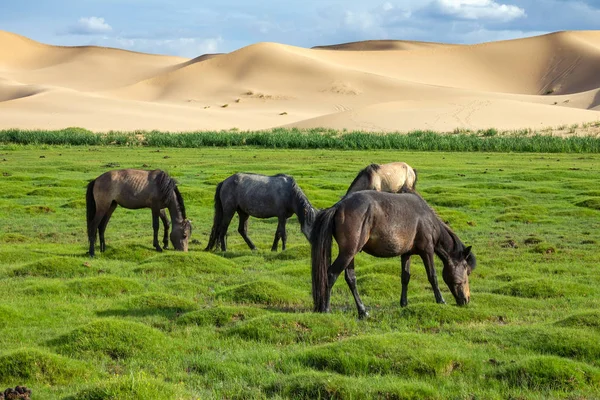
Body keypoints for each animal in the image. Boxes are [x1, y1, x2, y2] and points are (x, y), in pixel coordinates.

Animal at [312, 191, 476, 318]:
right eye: (467, 271)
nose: (466, 299)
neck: (428, 220)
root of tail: (338, 207)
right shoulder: (427, 251)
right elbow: (432, 277)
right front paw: (441, 300)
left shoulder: (406, 254)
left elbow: (405, 277)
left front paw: (403, 303)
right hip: (347, 253)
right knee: (331, 274)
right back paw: (326, 309)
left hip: (350, 255)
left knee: (351, 279)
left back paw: (363, 312)